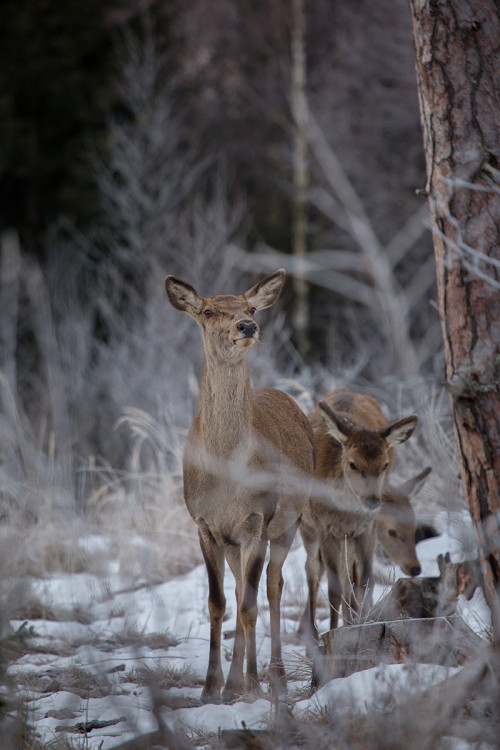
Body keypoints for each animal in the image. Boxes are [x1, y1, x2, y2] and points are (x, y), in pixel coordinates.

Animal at [164, 272, 314, 704]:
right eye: (208, 311)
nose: (247, 326)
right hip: (234, 542)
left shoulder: (258, 518)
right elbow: (217, 603)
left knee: (274, 588)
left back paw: (275, 675)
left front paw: (251, 684)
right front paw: (212, 687)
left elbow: (249, 606)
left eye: (250, 308)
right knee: (238, 588)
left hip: (289, 522)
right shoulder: (204, 523)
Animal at [296, 388, 418, 648]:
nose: (372, 501)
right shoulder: (326, 529)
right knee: (312, 570)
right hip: (307, 527)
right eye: (352, 464)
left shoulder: (365, 530)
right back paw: (312, 634)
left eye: (384, 464)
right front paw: (332, 632)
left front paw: (362, 624)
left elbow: (364, 580)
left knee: (349, 578)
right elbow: (333, 588)